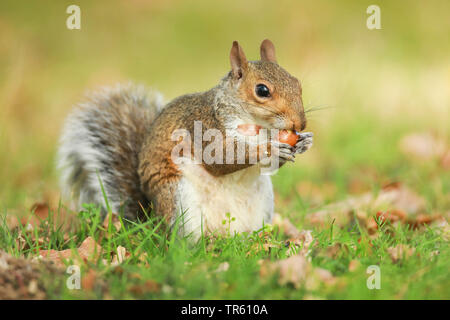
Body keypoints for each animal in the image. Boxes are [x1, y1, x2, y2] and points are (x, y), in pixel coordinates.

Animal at [58, 39, 312, 240]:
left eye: (297, 83)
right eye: (262, 90)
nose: (300, 124)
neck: (257, 126)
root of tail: (151, 219)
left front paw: (303, 142)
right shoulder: (203, 124)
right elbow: (220, 158)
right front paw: (270, 148)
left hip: (262, 203)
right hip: (179, 200)